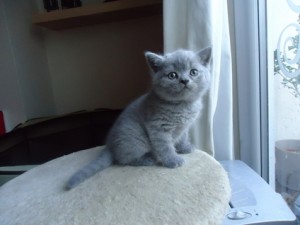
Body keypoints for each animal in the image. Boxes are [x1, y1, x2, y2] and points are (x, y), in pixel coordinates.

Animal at [66, 47, 211, 190]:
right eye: (172, 75)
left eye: (193, 72)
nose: (185, 80)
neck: (183, 105)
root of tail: (110, 145)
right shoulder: (158, 128)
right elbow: (166, 147)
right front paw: (173, 160)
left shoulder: (184, 127)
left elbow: (183, 137)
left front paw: (185, 148)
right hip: (136, 140)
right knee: (123, 159)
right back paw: (148, 159)